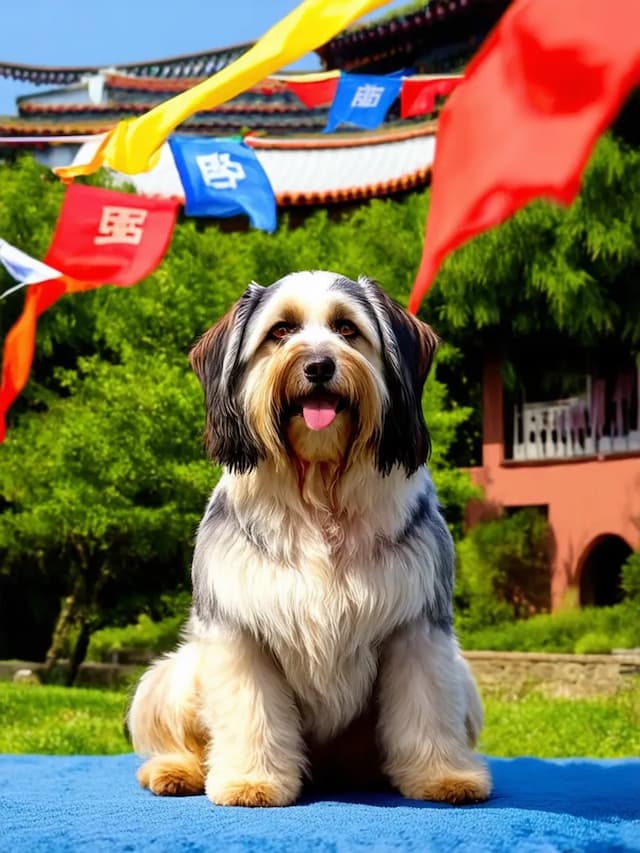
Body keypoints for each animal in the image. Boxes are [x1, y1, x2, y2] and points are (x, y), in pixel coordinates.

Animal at [129, 272, 490, 804]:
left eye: (346, 329)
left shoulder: (418, 631)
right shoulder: (241, 634)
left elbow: (427, 708)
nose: (319, 365)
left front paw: (442, 776)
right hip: (169, 677)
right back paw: (175, 771)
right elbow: (251, 713)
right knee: (180, 739)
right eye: (281, 331)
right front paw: (251, 780)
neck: (321, 486)